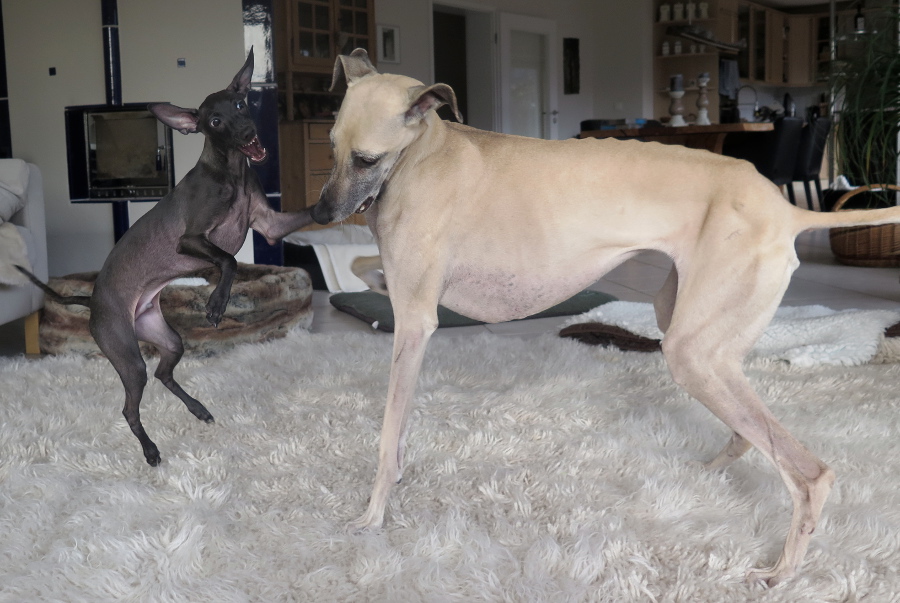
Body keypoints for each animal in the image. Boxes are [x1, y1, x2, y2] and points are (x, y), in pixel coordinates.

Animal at [18, 49, 314, 467]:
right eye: (215, 122)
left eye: (241, 104)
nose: (247, 135)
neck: (231, 173)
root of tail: (93, 303)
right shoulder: (189, 240)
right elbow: (229, 260)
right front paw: (217, 304)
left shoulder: (270, 224)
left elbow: (313, 212)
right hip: (127, 356)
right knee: (130, 406)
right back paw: (150, 450)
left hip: (166, 338)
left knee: (164, 374)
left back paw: (198, 409)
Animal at [311, 49, 900, 586]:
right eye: (330, 146)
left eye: (366, 159)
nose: (317, 215)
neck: (421, 153)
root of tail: (786, 207)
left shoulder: (415, 322)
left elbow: (387, 434)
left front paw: (371, 517)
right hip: (691, 329)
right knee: (747, 429)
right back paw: (708, 474)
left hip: (693, 353)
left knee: (810, 472)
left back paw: (781, 571)